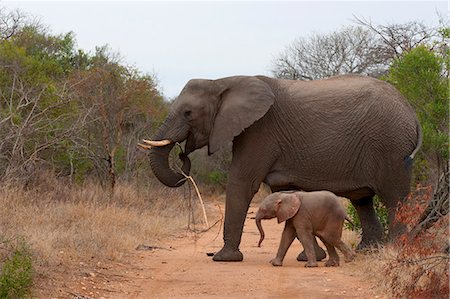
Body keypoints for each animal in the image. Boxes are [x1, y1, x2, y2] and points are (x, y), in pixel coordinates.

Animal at [142, 75, 422, 262]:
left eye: (188, 113)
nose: (182, 154)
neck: (223, 80)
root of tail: (411, 110)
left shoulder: (259, 131)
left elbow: (241, 183)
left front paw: (223, 258)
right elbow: (286, 194)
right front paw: (312, 257)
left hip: (391, 146)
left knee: (394, 198)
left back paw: (394, 250)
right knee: (363, 201)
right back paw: (368, 252)